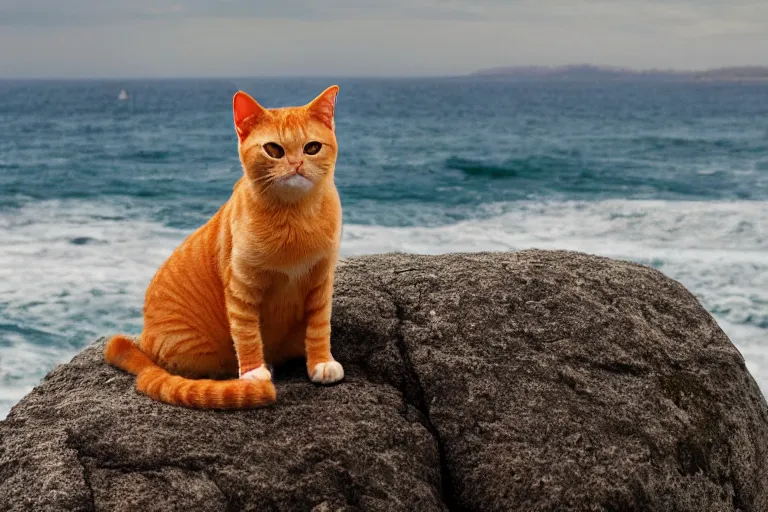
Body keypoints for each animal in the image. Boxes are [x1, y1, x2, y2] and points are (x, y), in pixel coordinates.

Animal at [103, 86, 344, 410]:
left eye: (312, 148)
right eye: (274, 150)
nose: (296, 165)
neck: (294, 217)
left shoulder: (321, 279)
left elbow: (319, 324)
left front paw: (320, 361)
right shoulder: (240, 285)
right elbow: (246, 332)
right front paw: (254, 372)